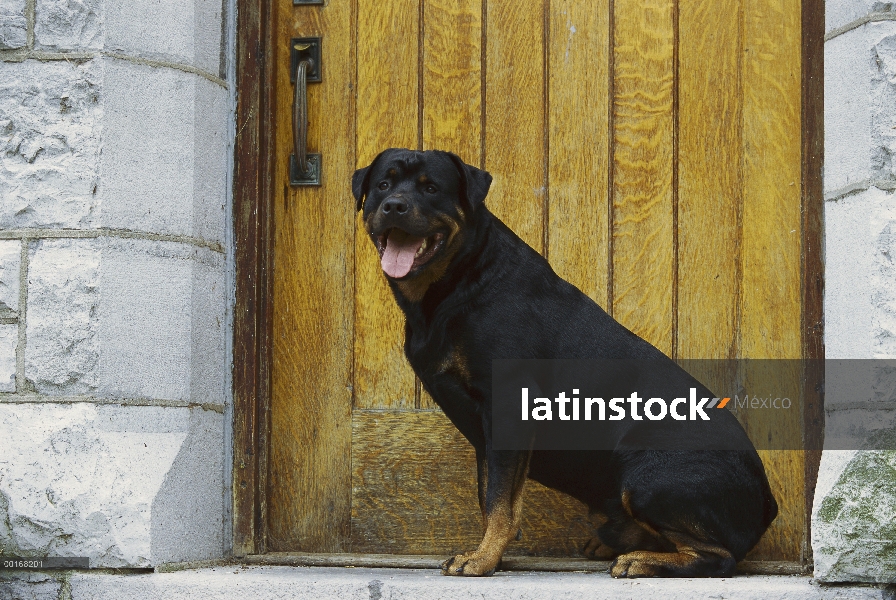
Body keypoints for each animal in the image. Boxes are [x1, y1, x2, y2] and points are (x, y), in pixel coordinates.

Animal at [352, 148, 776, 580]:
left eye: (432, 189)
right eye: (382, 185)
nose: (394, 205)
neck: (460, 278)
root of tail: (767, 503)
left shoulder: (509, 407)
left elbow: (500, 502)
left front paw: (483, 559)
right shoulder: (486, 429)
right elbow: (489, 496)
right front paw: (490, 554)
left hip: (647, 472)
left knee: (718, 556)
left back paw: (640, 560)